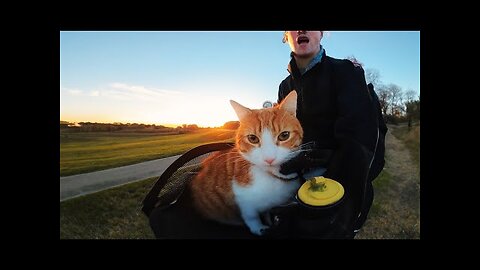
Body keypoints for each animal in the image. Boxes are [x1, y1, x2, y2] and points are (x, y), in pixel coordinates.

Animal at [189, 90, 302, 234]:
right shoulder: (243, 198)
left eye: (284, 135)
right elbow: (251, 215)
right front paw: (259, 228)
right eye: (252, 138)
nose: (269, 158)